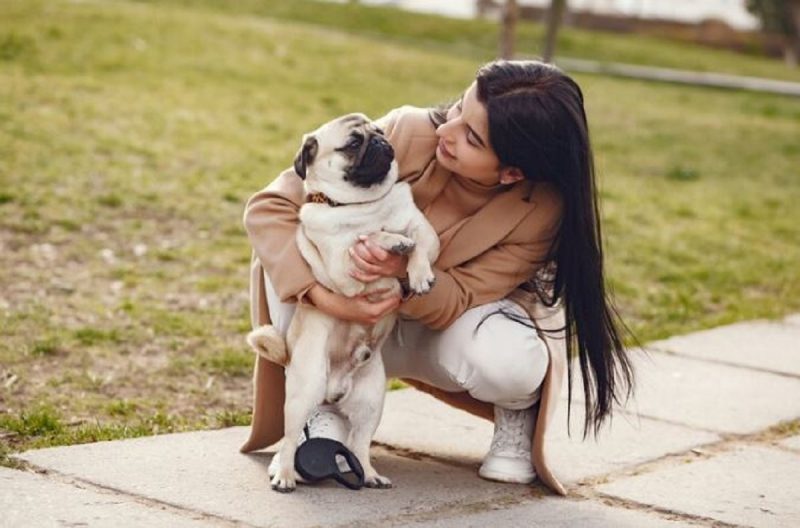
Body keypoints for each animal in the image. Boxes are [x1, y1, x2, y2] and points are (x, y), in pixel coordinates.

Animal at [247, 113, 440, 492]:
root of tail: (334, 387)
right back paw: (285, 475)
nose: (380, 141)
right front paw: (390, 241)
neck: (366, 204)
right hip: (305, 392)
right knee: (290, 440)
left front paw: (417, 272)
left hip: (371, 402)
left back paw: (369, 475)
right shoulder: (343, 266)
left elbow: (419, 247)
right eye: (353, 144)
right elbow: (370, 237)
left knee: (359, 445)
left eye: (379, 131)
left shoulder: (427, 233)